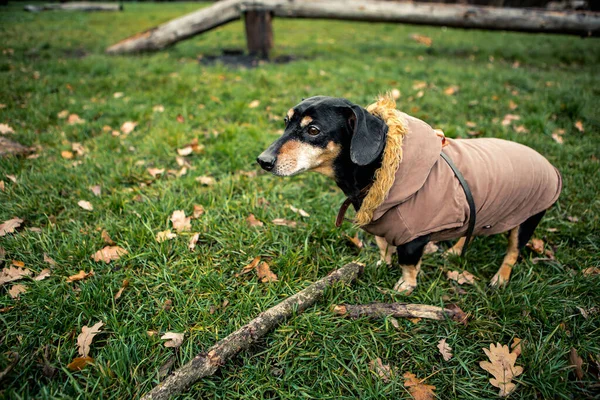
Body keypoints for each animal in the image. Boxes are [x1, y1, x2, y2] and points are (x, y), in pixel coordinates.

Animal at [258, 94, 564, 294]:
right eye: (286, 122)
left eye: (313, 130)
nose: (262, 161)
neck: (383, 167)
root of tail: (548, 163)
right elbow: (383, 246)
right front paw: (381, 264)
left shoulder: (415, 238)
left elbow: (408, 262)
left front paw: (406, 285)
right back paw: (455, 251)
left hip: (527, 220)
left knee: (512, 253)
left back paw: (500, 279)